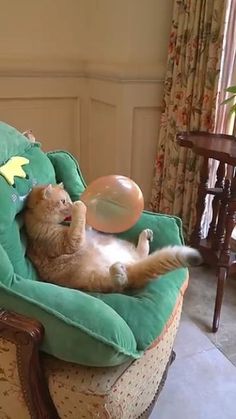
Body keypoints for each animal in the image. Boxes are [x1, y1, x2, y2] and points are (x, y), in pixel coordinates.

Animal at [23, 182, 201, 294]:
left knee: (141, 255)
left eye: (68, 199)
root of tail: (130, 264)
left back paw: (144, 237)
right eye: (63, 201)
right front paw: (80, 206)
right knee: (123, 281)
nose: (72, 203)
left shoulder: (81, 231)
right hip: (99, 277)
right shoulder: (68, 242)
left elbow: (84, 225)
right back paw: (119, 271)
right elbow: (78, 227)